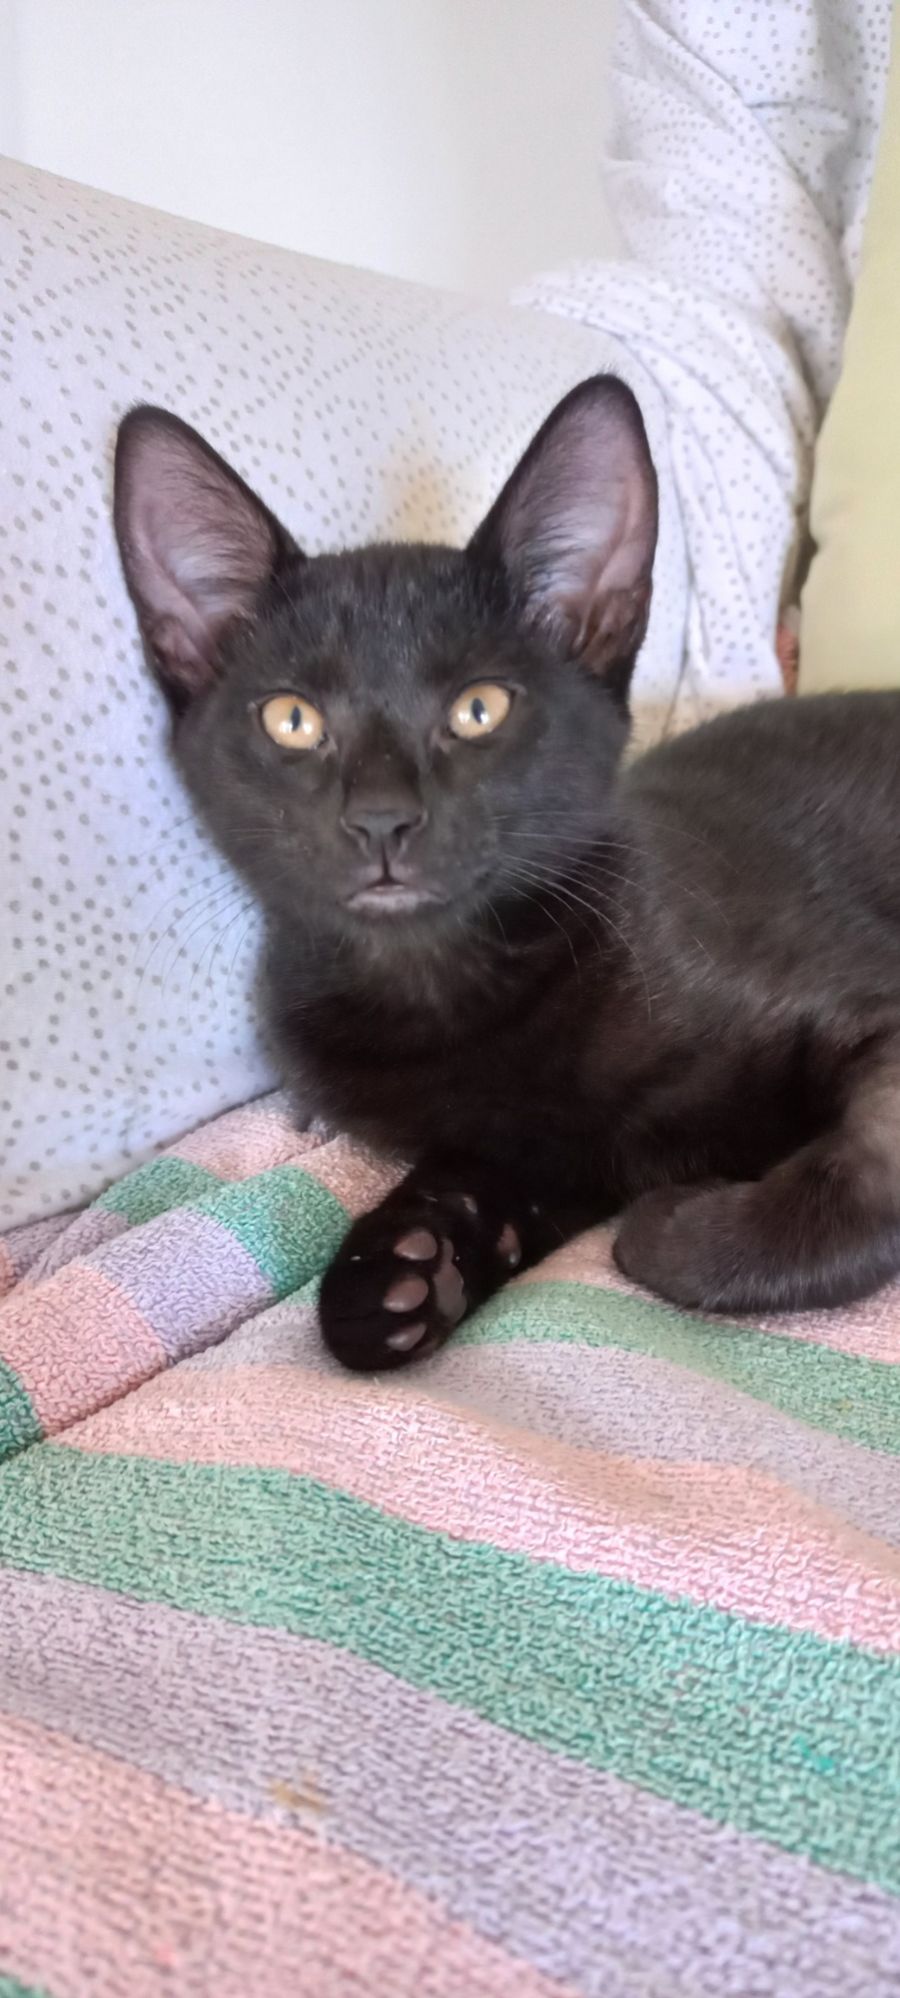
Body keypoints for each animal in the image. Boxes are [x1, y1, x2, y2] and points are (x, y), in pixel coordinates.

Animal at [114, 376, 900, 1371]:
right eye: (292, 720)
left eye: (479, 708)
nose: (380, 816)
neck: (450, 991)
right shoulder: (529, 1147)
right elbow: (495, 1169)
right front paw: (408, 1261)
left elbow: (871, 1157)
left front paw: (675, 1228)